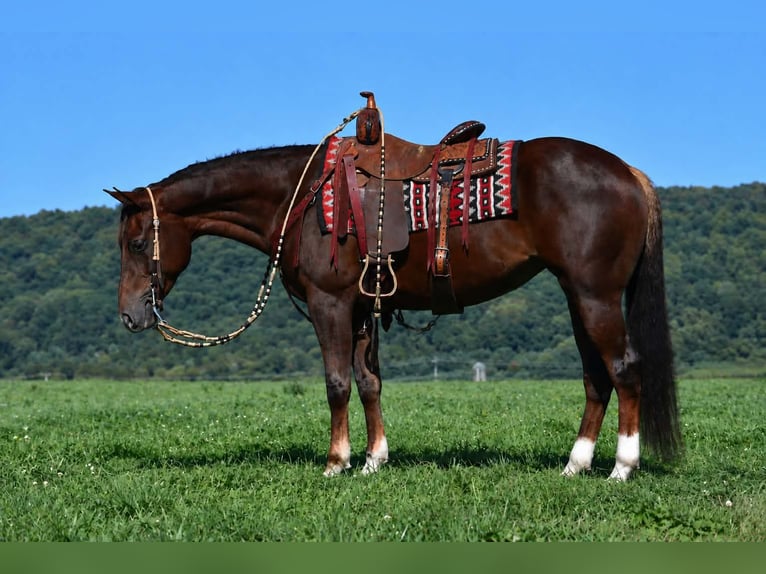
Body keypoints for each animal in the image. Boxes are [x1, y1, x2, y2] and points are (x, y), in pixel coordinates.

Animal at [106, 110, 681, 481]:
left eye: (135, 243)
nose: (131, 315)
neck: (301, 195)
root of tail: (629, 173)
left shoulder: (331, 303)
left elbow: (337, 383)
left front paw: (336, 462)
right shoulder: (364, 306)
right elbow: (369, 383)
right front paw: (373, 459)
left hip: (595, 296)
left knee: (624, 369)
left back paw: (622, 468)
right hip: (577, 296)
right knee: (596, 377)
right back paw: (574, 465)